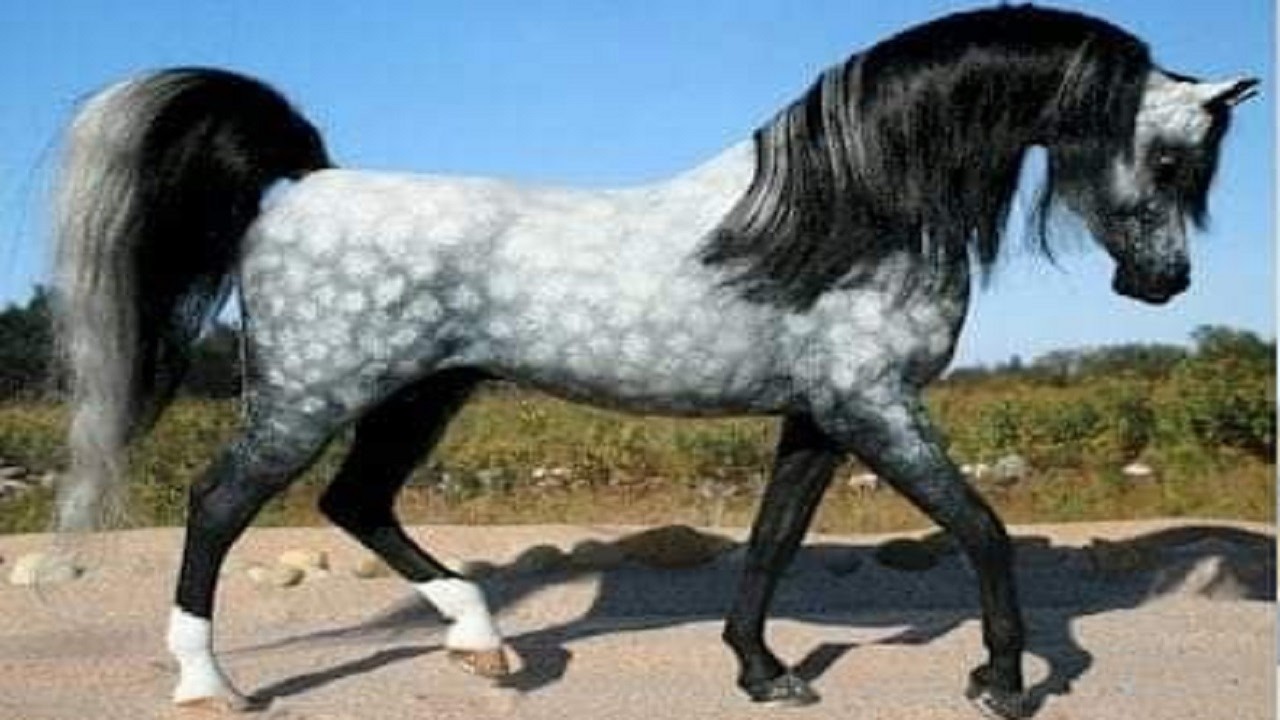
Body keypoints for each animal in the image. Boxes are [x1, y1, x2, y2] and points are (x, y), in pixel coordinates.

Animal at [49, 5, 1257, 718]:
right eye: (1168, 157)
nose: (1161, 285)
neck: (844, 210)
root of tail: (302, 182)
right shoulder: (873, 407)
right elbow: (981, 530)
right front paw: (1000, 682)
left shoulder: (819, 417)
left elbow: (771, 543)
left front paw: (764, 673)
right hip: (311, 397)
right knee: (218, 506)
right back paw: (209, 684)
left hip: (419, 397)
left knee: (356, 505)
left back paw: (487, 648)